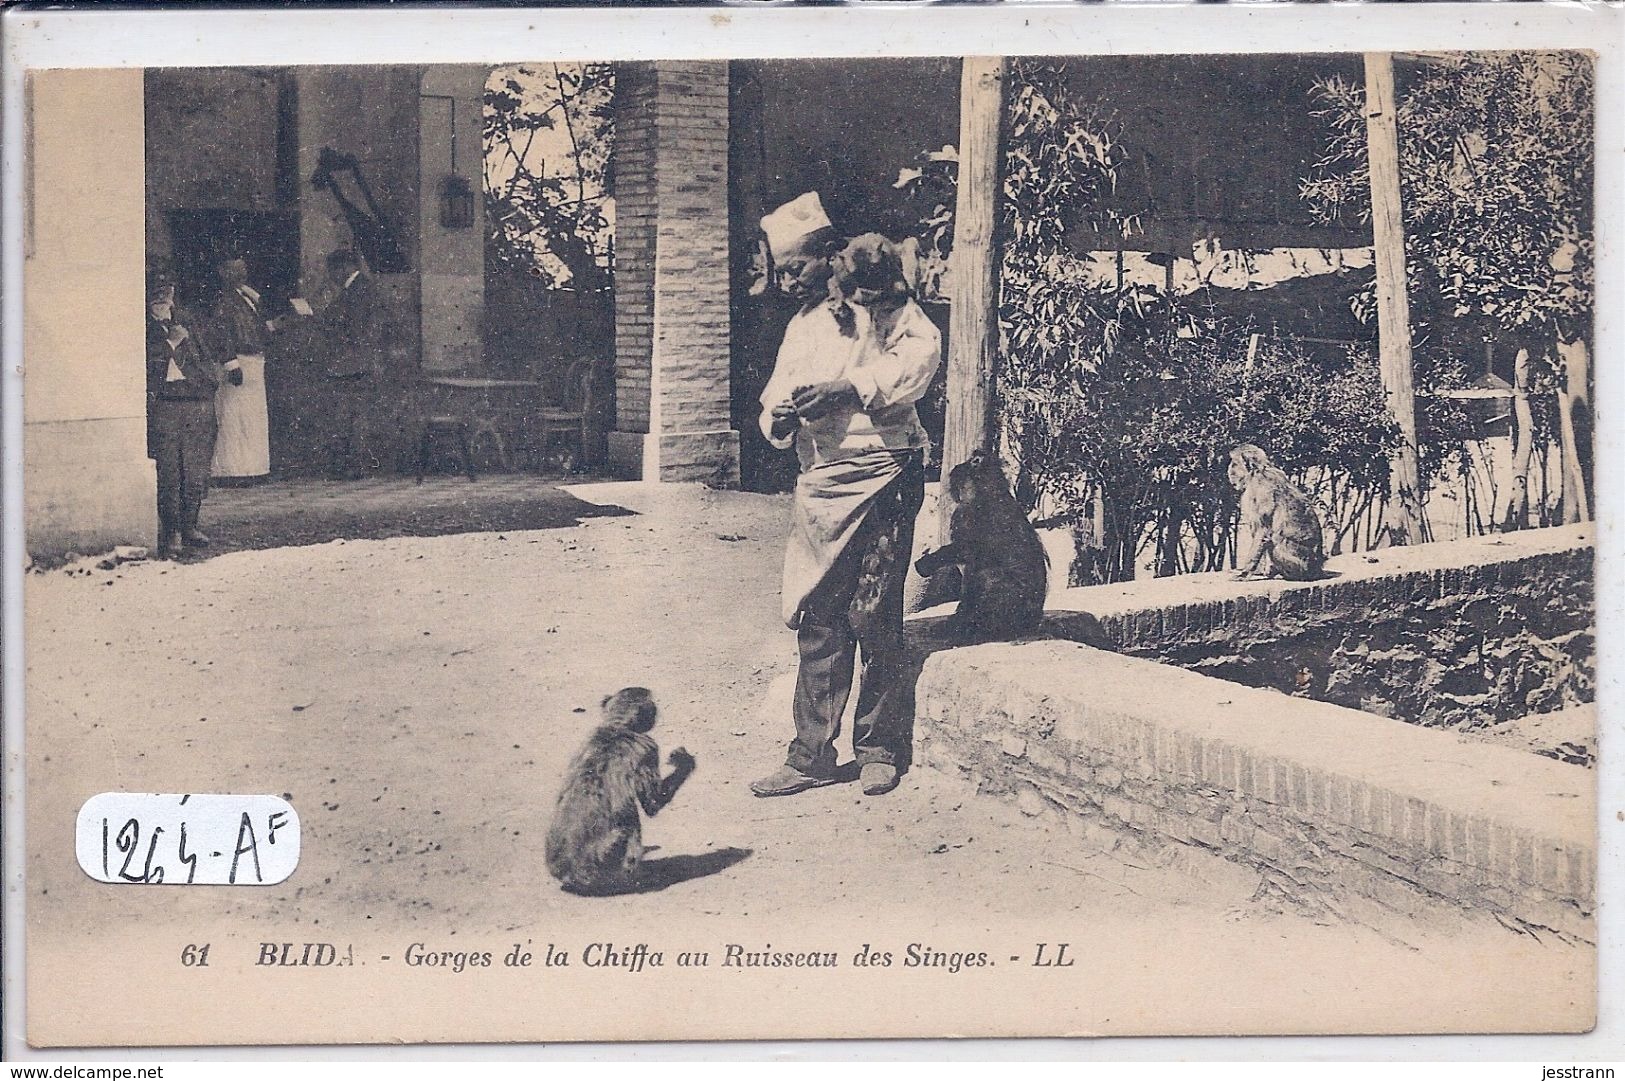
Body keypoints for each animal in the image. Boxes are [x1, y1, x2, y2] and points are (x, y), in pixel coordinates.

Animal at [546, 685, 698, 897]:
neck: (617, 726)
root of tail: (570, 874)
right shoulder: (648, 748)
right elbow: (653, 804)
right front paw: (685, 762)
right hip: (603, 860)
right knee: (631, 820)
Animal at [910, 445, 1046, 640]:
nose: (953, 475)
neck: (989, 489)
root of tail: (1030, 625)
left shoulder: (964, 513)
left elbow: (965, 551)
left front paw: (927, 563)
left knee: (985, 575)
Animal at [1222, 442, 1326, 581]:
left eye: (1234, 464)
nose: (1228, 471)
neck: (1258, 471)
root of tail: (1317, 569)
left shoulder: (1261, 490)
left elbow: (1262, 530)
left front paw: (1245, 572)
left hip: (1299, 564)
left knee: (1276, 540)